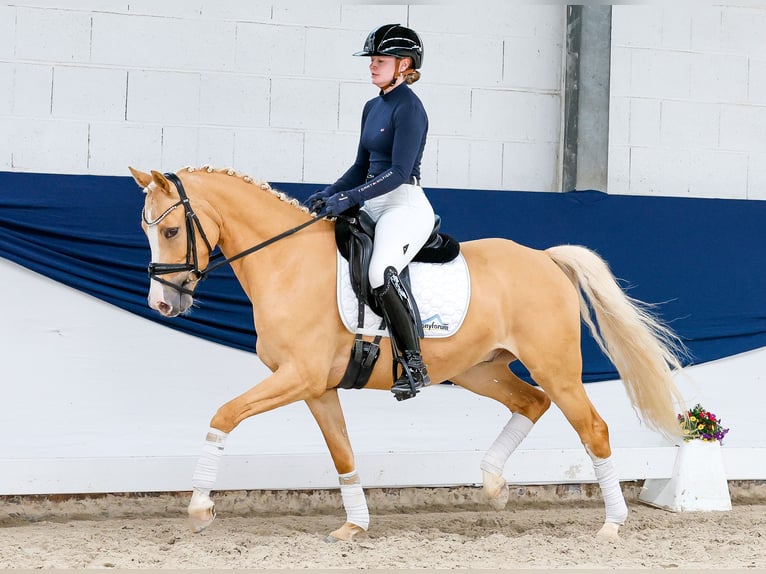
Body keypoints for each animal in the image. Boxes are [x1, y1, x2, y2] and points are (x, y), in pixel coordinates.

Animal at [129, 165, 686, 542]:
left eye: (172, 230)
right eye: (146, 230)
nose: (162, 304)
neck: (287, 262)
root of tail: (546, 259)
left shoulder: (299, 376)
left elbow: (224, 414)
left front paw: (201, 507)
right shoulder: (316, 387)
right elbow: (343, 452)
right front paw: (354, 527)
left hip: (558, 369)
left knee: (593, 429)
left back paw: (612, 525)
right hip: (480, 370)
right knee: (531, 403)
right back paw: (494, 487)